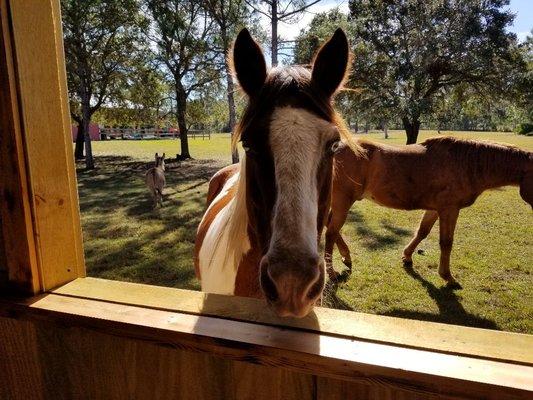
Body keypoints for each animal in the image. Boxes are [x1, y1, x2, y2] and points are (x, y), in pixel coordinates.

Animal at [324, 138, 532, 288]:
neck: (466, 164)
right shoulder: (449, 209)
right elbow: (446, 243)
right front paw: (447, 277)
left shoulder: (434, 209)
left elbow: (422, 232)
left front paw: (407, 256)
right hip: (343, 201)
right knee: (331, 232)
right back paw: (332, 273)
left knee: (330, 227)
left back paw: (346, 256)